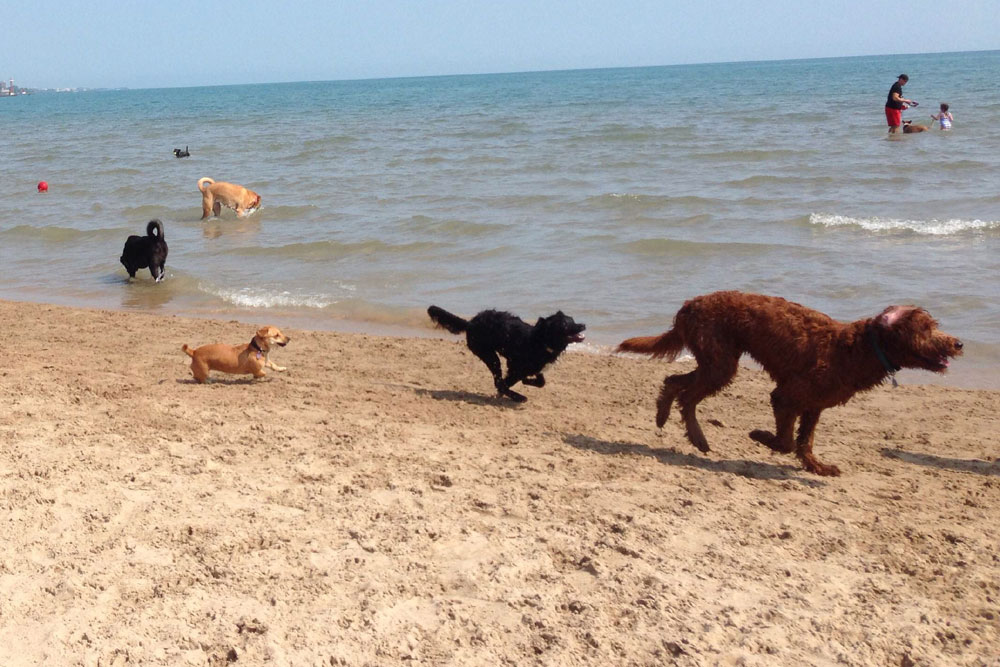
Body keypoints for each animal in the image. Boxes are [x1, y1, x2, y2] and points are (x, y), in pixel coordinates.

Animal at [424, 306, 584, 402]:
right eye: (564, 325)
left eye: (572, 320)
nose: (583, 325)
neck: (539, 340)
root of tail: (470, 324)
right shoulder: (514, 366)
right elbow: (505, 383)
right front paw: (515, 391)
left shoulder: (533, 367)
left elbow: (540, 382)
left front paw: (527, 381)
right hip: (490, 356)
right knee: (498, 381)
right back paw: (518, 397)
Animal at [616, 290, 960, 474]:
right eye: (926, 329)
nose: (958, 343)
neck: (852, 349)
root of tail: (689, 305)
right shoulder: (786, 396)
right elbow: (785, 441)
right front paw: (760, 436)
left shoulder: (814, 406)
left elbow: (804, 440)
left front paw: (816, 466)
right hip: (720, 363)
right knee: (687, 396)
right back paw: (698, 438)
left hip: (715, 362)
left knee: (674, 382)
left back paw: (664, 417)